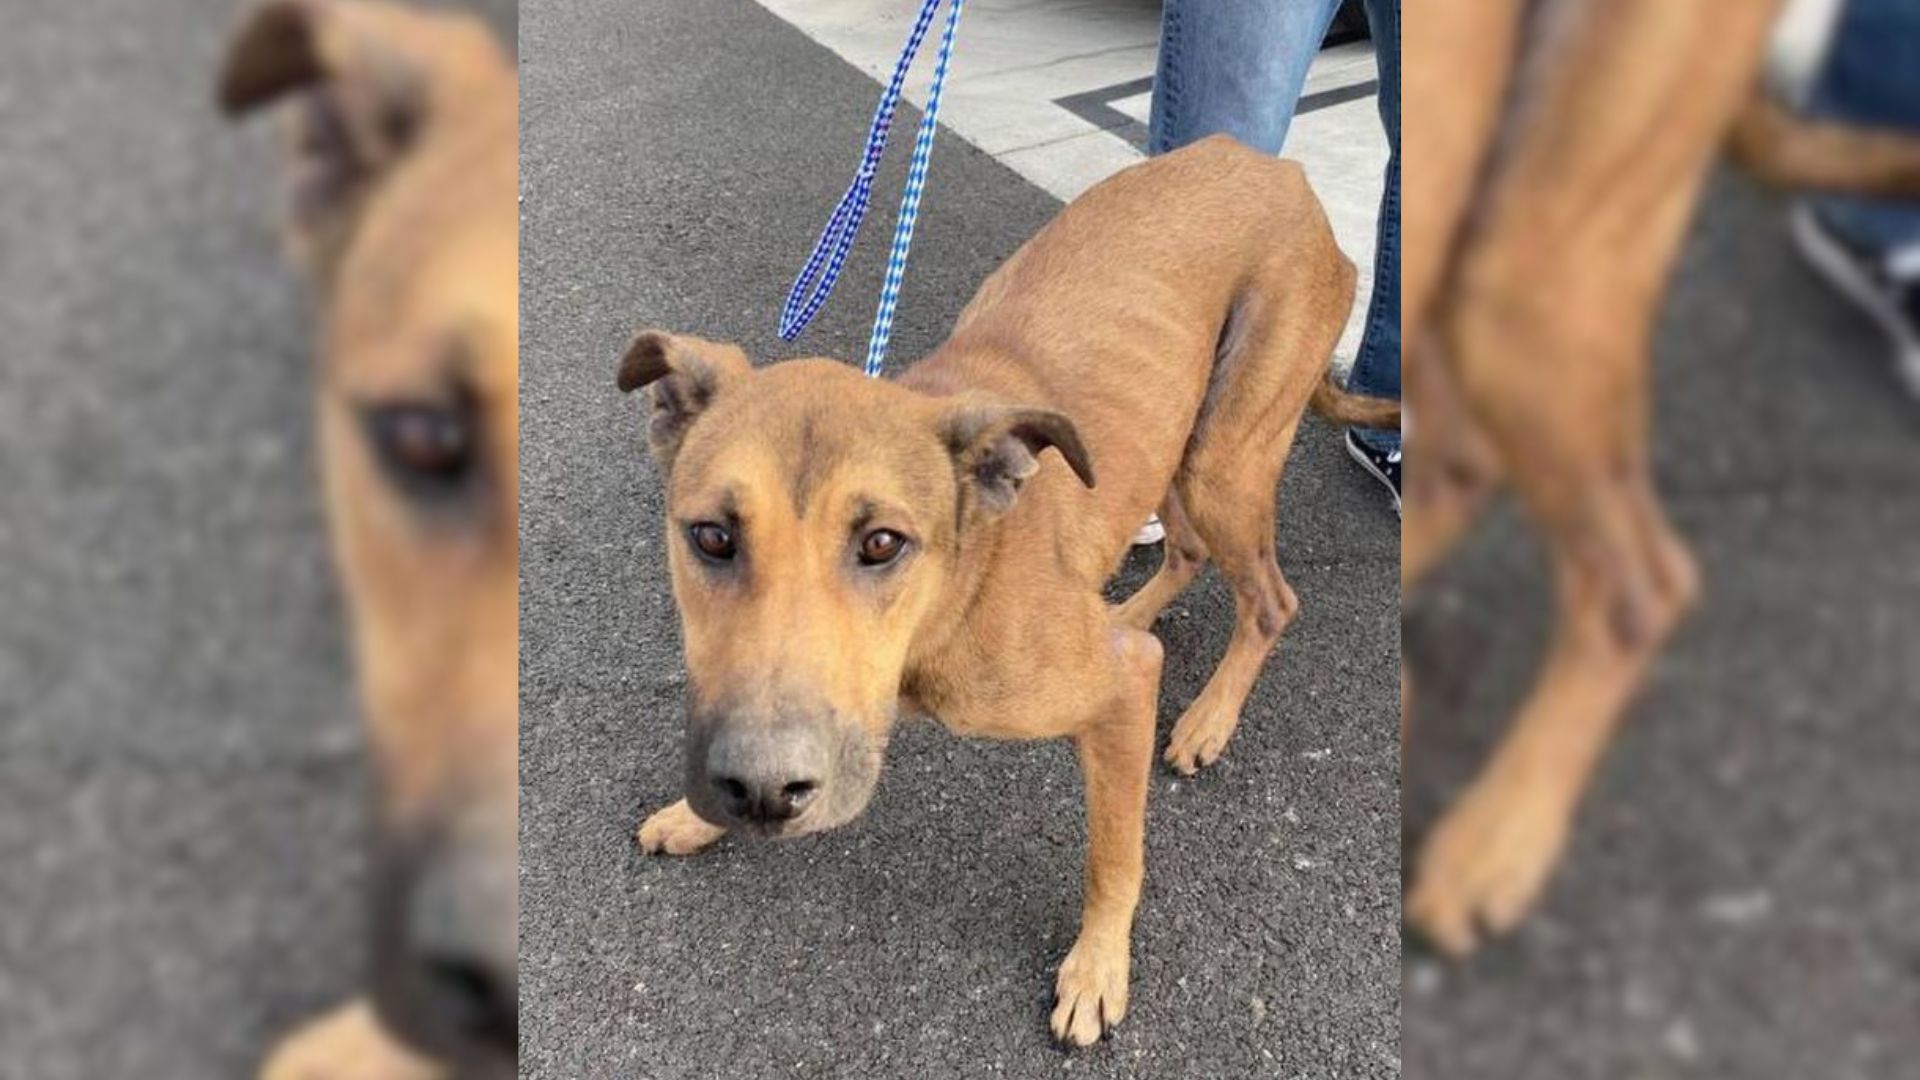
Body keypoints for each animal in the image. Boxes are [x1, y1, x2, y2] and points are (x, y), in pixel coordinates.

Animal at [625, 134, 1397, 1045]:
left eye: (882, 543)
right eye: (712, 536)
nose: (763, 793)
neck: (958, 583)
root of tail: (1284, 172)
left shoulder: (1119, 691)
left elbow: (1114, 855)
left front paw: (1098, 967)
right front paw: (691, 814)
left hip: (1224, 457)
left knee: (1271, 600)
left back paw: (1209, 717)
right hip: (1175, 441)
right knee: (1184, 555)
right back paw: (1132, 610)